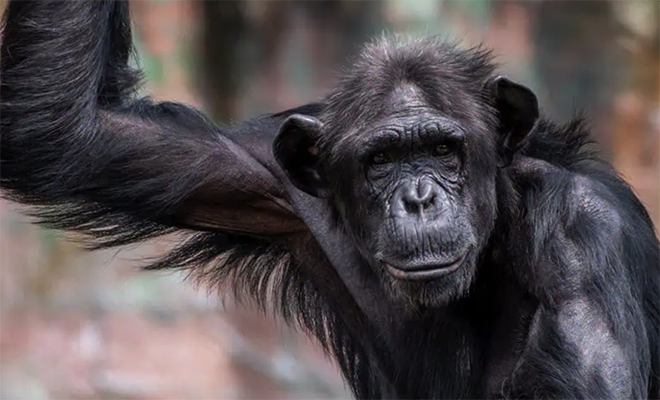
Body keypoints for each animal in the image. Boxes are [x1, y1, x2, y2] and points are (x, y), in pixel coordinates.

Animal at [1, 0, 660, 400]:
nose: (419, 197)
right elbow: (74, 136)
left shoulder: (582, 230)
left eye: (443, 150)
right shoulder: (270, 174)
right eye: (381, 161)